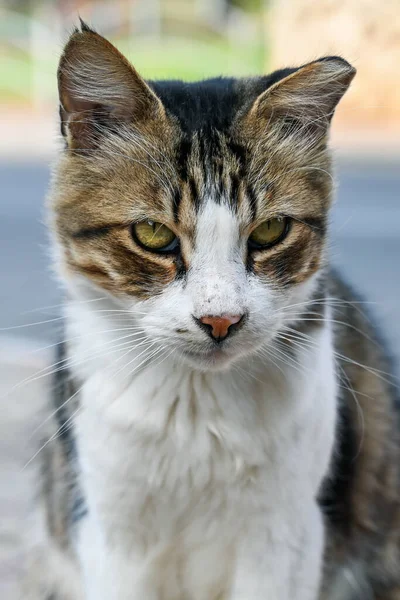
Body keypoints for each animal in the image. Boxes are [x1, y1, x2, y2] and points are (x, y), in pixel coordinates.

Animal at [37, 21, 400, 596]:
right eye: (152, 233)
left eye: (270, 230)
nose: (220, 320)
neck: (195, 408)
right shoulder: (111, 533)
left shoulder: (285, 535)